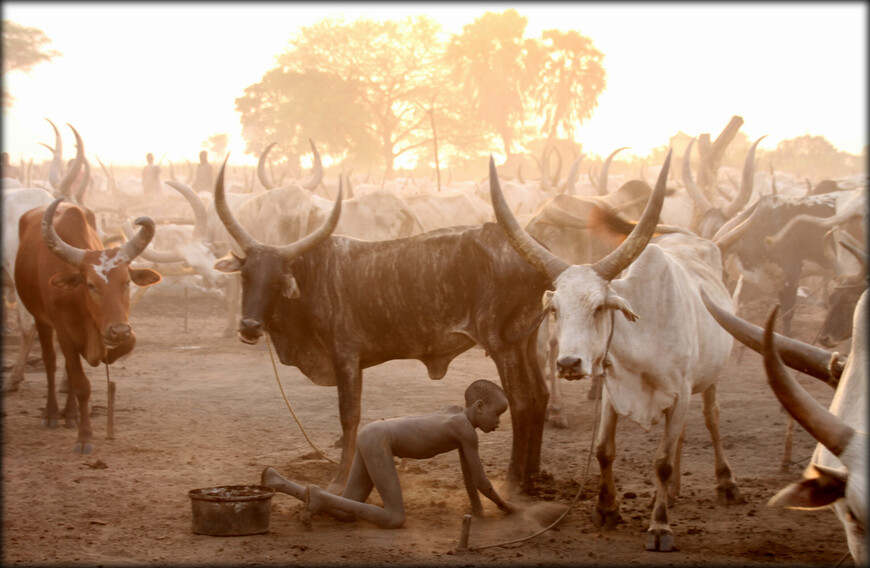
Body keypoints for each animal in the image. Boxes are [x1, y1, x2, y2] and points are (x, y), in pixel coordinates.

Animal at [14, 197, 162, 454]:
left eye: (126, 282)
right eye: (91, 285)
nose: (118, 331)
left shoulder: (119, 326)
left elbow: (123, 346)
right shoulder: (64, 332)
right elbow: (82, 384)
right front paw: (85, 437)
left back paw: (70, 415)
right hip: (40, 318)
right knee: (51, 362)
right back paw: (52, 414)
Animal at [212, 159, 552, 492]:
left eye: (277, 280)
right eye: (246, 276)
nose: (249, 326)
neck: (315, 274)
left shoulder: (346, 356)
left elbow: (349, 416)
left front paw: (339, 479)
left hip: (503, 344)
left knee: (522, 400)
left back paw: (514, 480)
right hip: (525, 340)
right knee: (540, 396)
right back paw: (533, 476)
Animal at [494, 150, 744, 552]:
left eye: (600, 307)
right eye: (554, 309)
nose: (569, 363)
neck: (643, 341)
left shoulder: (680, 392)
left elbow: (661, 461)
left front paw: (660, 527)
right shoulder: (614, 391)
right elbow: (603, 451)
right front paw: (606, 509)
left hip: (709, 378)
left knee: (711, 417)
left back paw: (726, 483)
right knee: (684, 432)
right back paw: (673, 492)